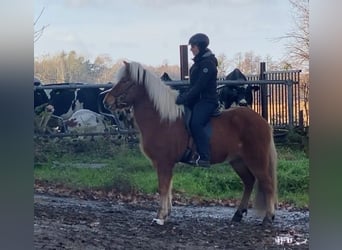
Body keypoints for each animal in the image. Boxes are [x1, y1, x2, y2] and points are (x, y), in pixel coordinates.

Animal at [103, 61, 278, 227]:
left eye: (125, 81)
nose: (106, 101)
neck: (162, 119)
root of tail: (263, 121)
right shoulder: (165, 164)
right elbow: (168, 187)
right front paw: (166, 214)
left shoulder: (164, 162)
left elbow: (163, 188)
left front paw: (160, 217)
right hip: (238, 161)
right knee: (249, 182)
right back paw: (238, 214)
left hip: (256, 160)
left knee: (267, 184)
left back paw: (268, 218)